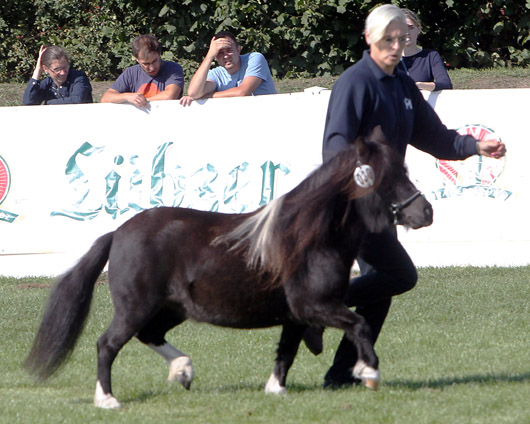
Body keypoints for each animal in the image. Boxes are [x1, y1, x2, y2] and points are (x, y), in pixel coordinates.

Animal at [22, 127, 432, 410]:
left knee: (149, 334)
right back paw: (108, 399)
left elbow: (287, 351)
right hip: (135, 306)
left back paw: (183, 370)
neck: (309, 236)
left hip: (172, 308)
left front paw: (276, 390)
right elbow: (360, 324)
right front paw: (369, 372)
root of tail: (117, 233)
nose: (425, 212)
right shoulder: (316, 305)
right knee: (107, 344)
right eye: (389, 177)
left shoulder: (296, 314)